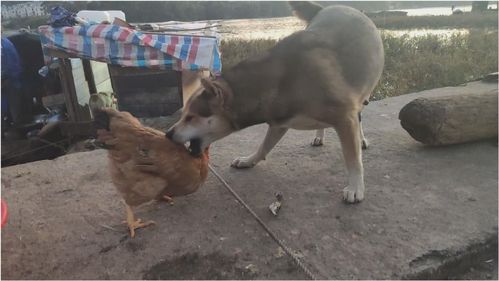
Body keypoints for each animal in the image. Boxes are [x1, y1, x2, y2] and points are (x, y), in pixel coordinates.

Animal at [166, 2, 384, 203]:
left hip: (364, 90)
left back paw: (361, 138)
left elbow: (353, 159)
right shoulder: (279, 122)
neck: (279, 81)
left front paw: (356, 186)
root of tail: (334, 6)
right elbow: (264, 146)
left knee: (359, 115)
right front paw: (249, 160)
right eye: (183, 114)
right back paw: (319, 135)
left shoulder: (344, 117)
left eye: (191, 117)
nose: (168, 133)